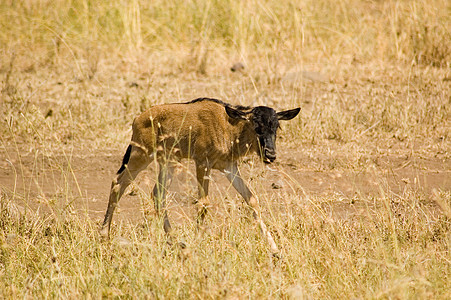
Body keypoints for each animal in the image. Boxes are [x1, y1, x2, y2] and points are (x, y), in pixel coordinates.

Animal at [100, 97, 302, 254]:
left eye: (276, 127)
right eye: (255, 125)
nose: (270, 155)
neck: (228, 126)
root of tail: (137, 119)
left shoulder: (229, 167)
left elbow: (251, 199)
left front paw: (275, 249)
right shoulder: (203, 163)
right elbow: (203, 204)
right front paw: (198, 242)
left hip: (169, 162)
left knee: (157, 194)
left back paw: (174, 241)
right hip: (141, 156)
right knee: (118, 183)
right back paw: (104, 236)